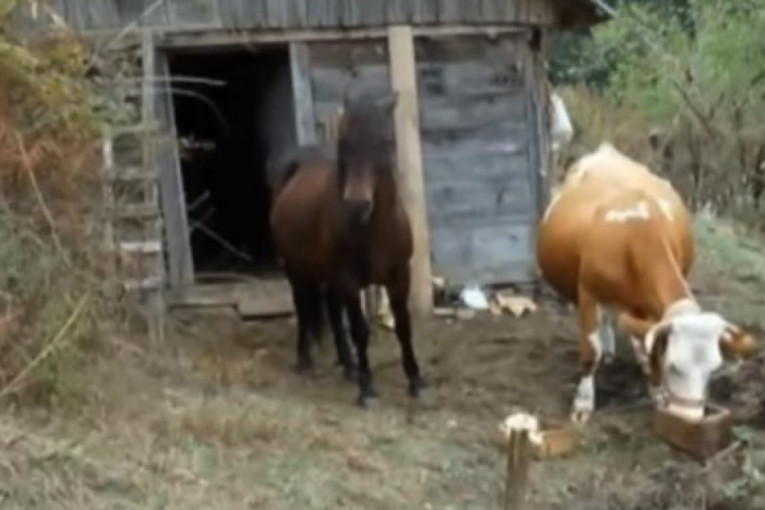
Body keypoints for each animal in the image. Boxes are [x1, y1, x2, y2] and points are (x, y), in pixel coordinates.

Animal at [269, 91, 428, 407]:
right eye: (344, 142)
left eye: (386, 140)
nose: (357, 205)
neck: (374, 230)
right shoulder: (349, 280)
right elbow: (359, 329)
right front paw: (367, 389)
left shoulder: (399, 274)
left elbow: (403, 325)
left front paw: (416, 381)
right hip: (296, 269)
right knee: (303, 308)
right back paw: (305, 360)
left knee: (331, 311)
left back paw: (348, 365)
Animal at [537, 142, 757, 424]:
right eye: (674, 366)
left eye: (713, 369)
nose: (689, 417)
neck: (636, 234)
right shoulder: (588, 292)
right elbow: (591, 351)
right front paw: (582, 404)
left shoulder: (649, 305)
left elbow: (650, 345)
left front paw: (657, 391)